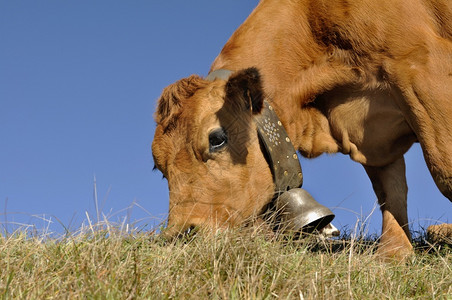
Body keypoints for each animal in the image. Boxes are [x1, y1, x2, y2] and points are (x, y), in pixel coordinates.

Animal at [153, 0, 452, 258]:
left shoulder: (420, 69)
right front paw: (392, 255)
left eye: (216, 139)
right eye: (159, 167)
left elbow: (444, 171)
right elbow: (390, 192)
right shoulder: (370, 135)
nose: (182, 235)